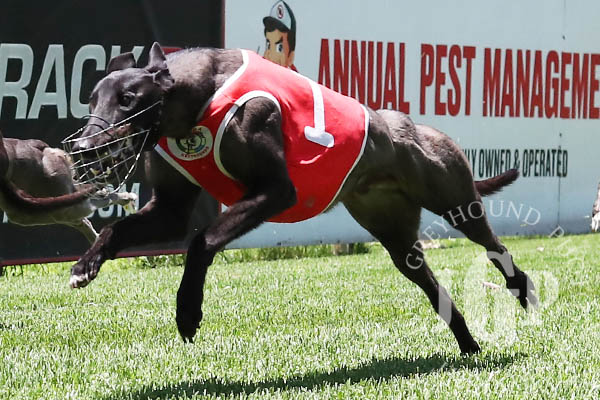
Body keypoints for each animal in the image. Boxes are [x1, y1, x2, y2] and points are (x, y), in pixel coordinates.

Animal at [66, 43, 537, 354]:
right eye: (91, 98)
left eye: (128, 99)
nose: (83, 148)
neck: (197, 98)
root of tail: (415, 126)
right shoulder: (170, 208)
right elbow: (117, 229)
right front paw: (85, 265)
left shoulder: (274, 191)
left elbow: (201, 240)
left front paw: (188, 311)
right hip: (398, 239)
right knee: (433, 286)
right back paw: (468, 344)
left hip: (455, 201)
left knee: (496, 246)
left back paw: (522, 288)